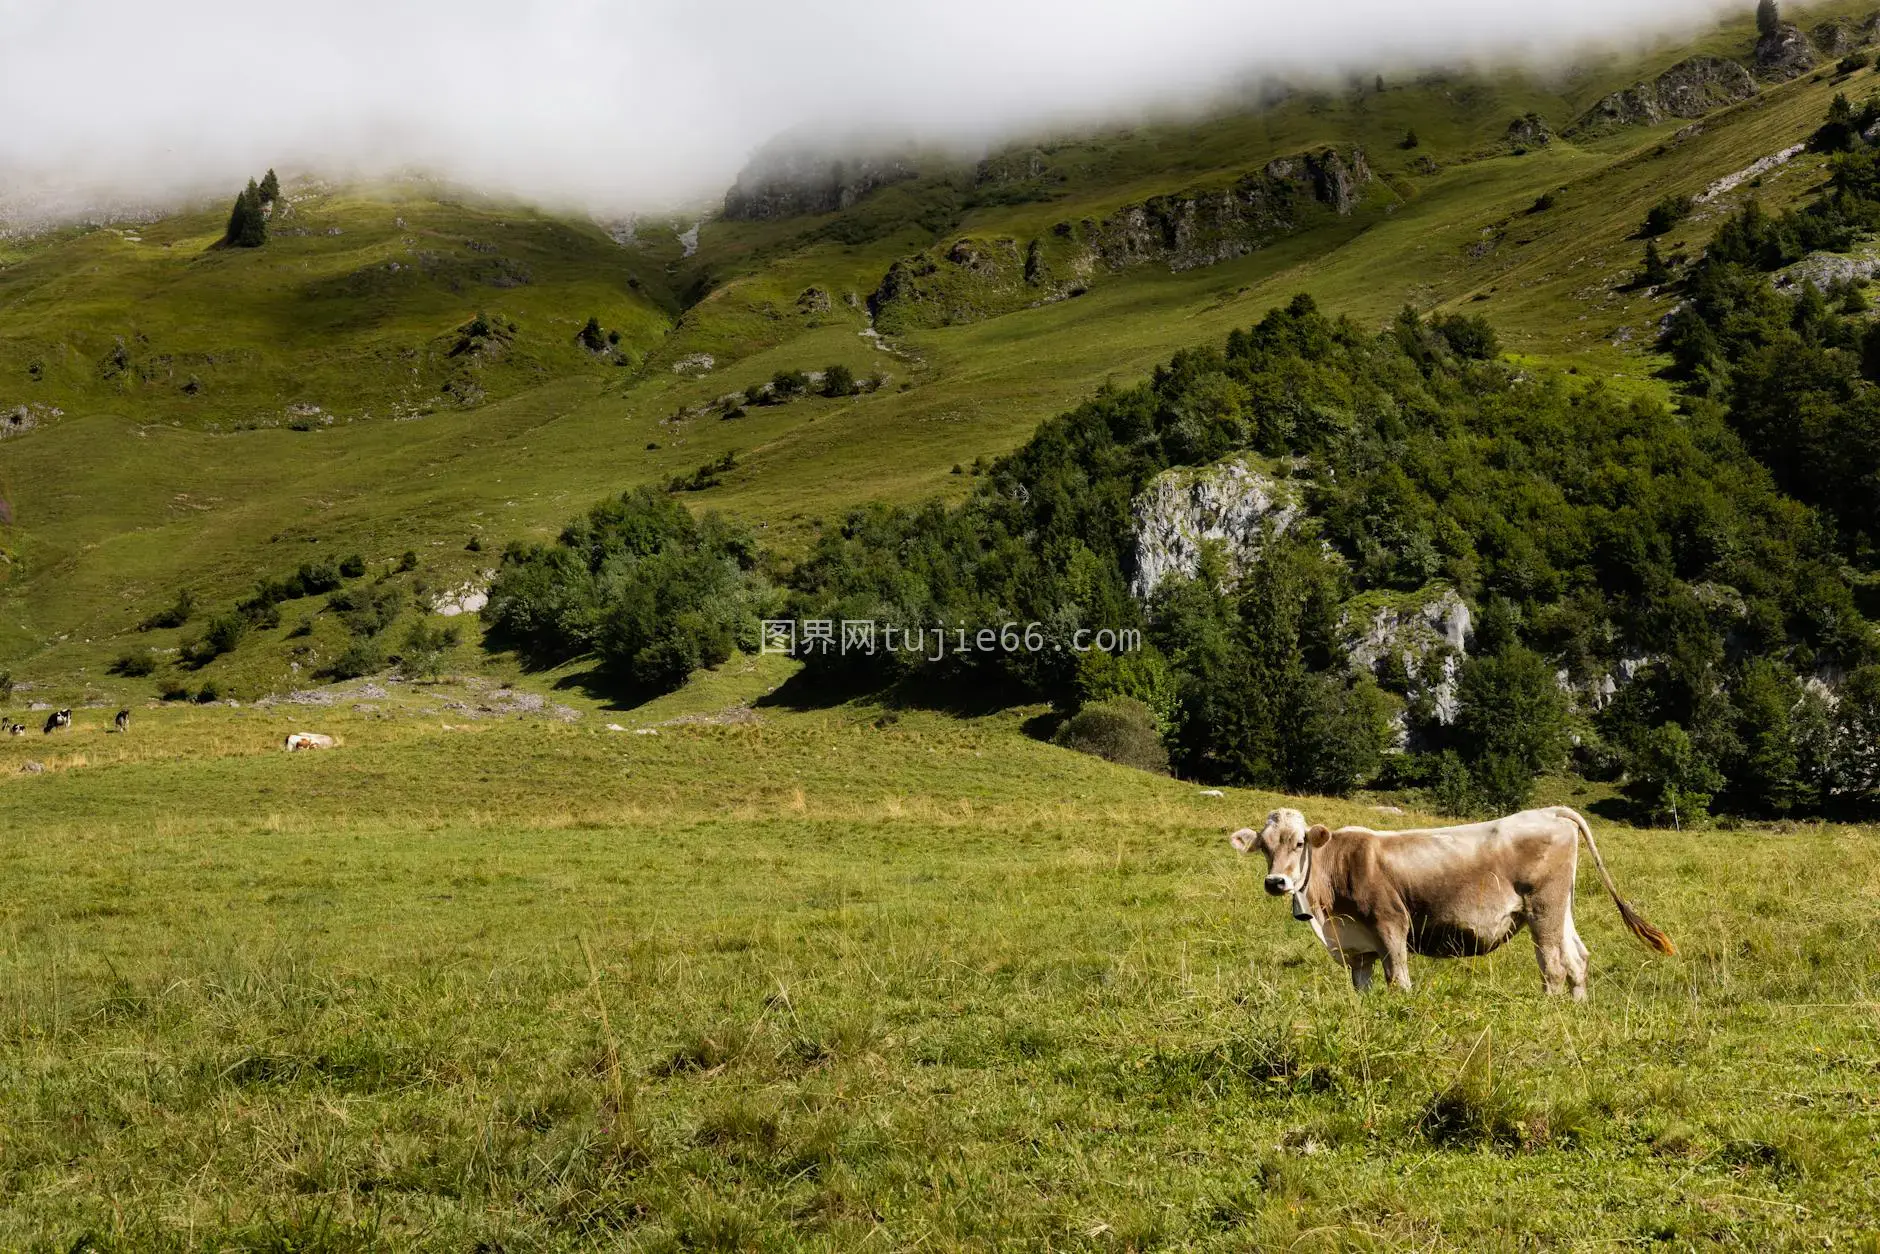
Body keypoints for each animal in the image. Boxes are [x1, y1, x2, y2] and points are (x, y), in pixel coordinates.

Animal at [1225, 808, 1684, 1007]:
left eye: (1300, 842)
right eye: (1264, 847)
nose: (1276, 882)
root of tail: (1550, 811)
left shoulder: (1391, 923)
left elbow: (1398, 978)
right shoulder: (1358, 944)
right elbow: (1362, 986)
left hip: (1543, 907)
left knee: (1553, 964)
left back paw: (1551, 1009)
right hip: (1560, 908)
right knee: (1577, 957)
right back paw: (1577, 1006)